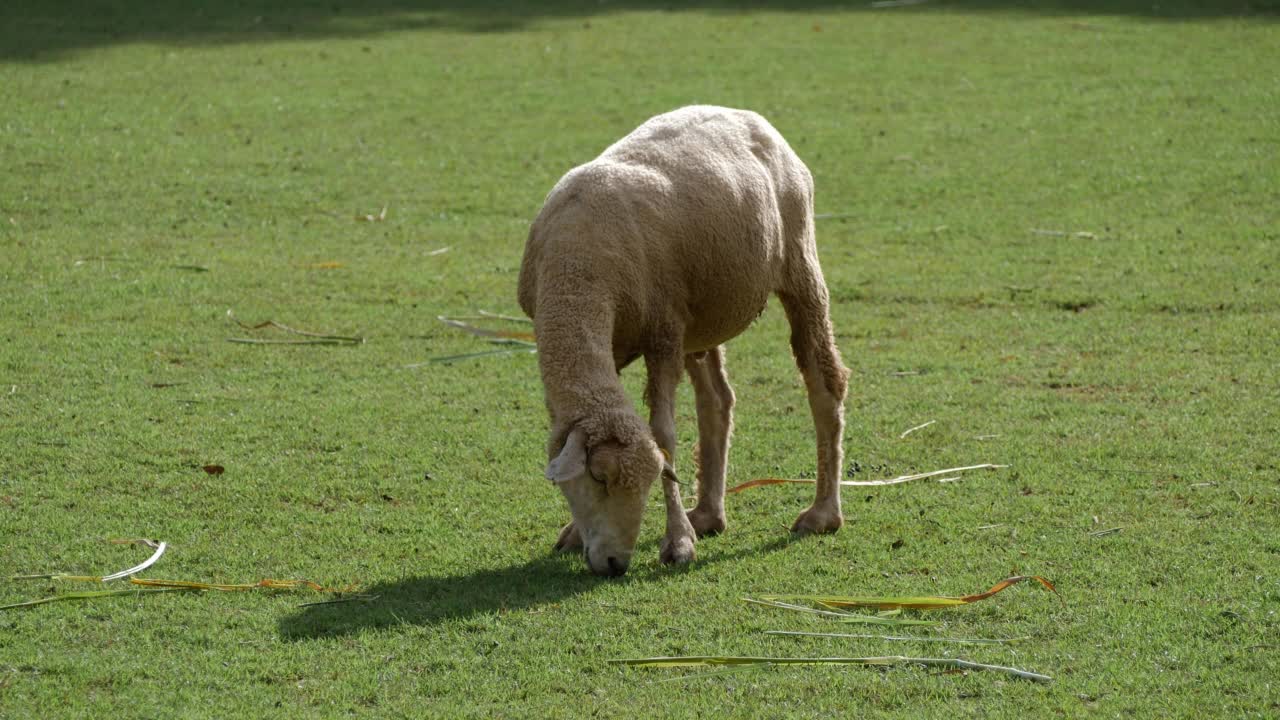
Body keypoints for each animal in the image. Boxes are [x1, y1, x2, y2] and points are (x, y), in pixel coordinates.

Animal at [514, 106, 844, 573]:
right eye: (599, 476)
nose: (615, 564)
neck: (577, 270)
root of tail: (747, 116)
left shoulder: (663, 334)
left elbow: (664, 436)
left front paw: (678, 543)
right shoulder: (606, 347)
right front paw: (575, 533)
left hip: (799, 264)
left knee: (824, 384)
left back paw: (822, 514)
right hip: (700, 316)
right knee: (717, 402)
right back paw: (707, 514)